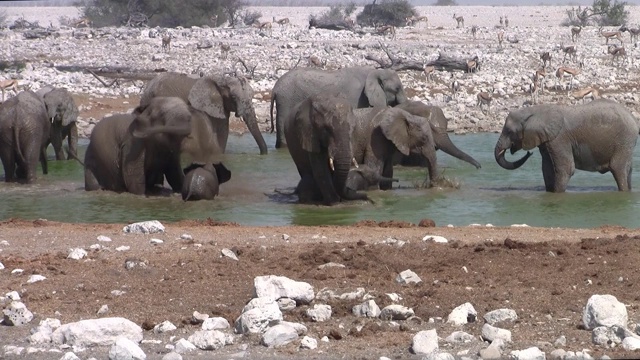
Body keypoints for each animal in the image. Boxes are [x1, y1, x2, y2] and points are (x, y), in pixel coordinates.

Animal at [496, 99, 640, 191]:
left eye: (509, 131)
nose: (529, 153)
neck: (536, 111)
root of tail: (633, 119)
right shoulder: (547, 140)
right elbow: (547, 168)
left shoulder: (560, 138)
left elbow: (566, 169)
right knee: (627, 170)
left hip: (624, 141)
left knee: (618, 169)